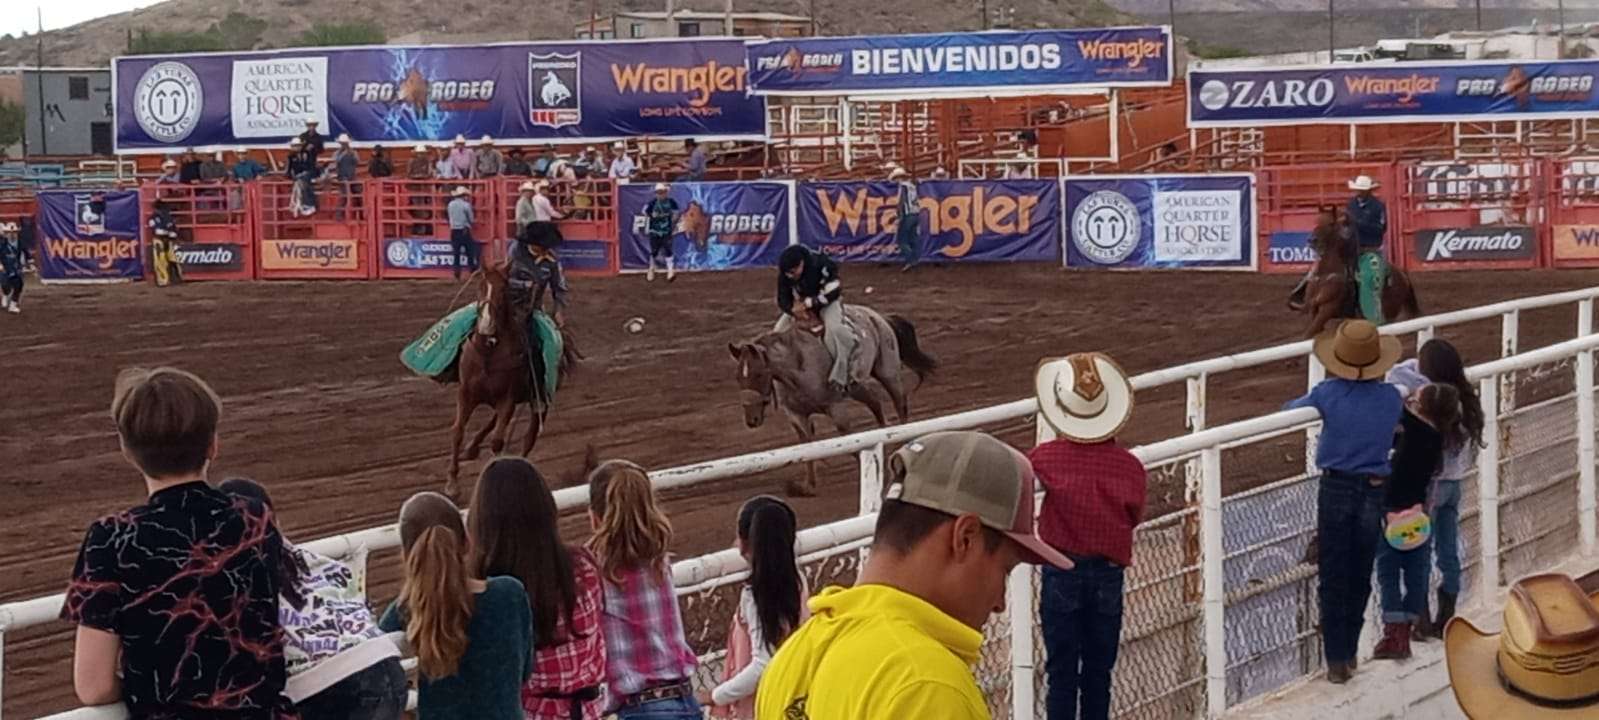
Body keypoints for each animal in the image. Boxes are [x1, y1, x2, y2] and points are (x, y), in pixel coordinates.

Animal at [447, 263, 580, 498]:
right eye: (480, 287)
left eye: (503, 291)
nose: (486, 325)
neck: (489, 353)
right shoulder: (466, 393)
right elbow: (457, 431)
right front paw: (452, 483)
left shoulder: (507, 399)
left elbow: (498, 441)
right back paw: (471, 448)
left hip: (538, 401)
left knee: (529, 437)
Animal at [728, 304, 937, 496]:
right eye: (737, 377)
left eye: (759, 374)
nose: (752, 419)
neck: (798, 364)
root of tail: (878, 317)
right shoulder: (796, 414)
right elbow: (806, 447)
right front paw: (807, 487)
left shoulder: (836, 408)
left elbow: (850, 444)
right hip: (857, 388)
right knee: (876, 403)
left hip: (888, 373)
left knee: (900, 404)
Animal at [1301, 208, 1423, 338]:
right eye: (1316, 221)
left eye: (1331, 223)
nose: (1311, 240)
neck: (1326, 275)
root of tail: (1401, 273)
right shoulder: (1314, 308)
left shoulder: (1327, 309)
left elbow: (1309, 333)